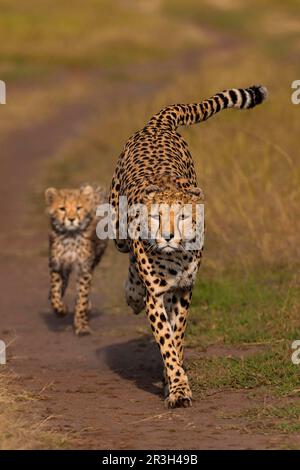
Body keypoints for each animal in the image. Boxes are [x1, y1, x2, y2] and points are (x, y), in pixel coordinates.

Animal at [109, 85, 268, 408]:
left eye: (183, 217)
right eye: (156, 217)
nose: (168, 236)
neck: (175, 258)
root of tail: (157, 124)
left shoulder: (184, 289)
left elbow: (177, 335)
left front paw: (173, 381)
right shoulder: (156, 295)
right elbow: (167, 342)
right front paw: (179, 388)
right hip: (118, 228)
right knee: (128, 256)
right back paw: (132, 295)